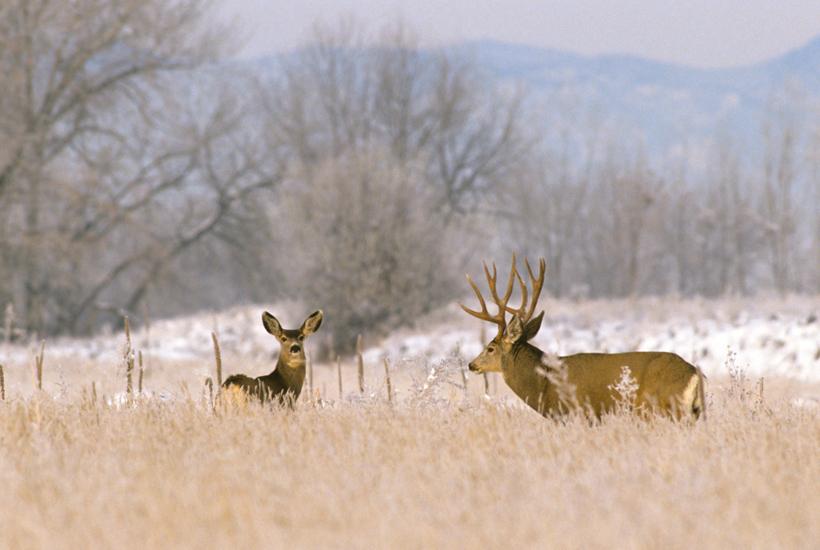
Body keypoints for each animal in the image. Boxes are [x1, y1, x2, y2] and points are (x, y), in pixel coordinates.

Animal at [461, 255, 706, 420]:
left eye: (490, 347)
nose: (471, 364)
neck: (545, 383)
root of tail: (694, 374)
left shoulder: (577, 414)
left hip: (665, 409)